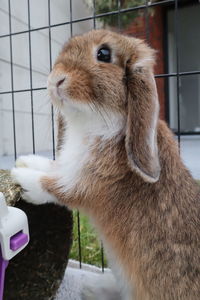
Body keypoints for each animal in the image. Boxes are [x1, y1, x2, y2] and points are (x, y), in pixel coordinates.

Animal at [11, 28, 200, 300]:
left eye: (103, 54)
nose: (56, 79)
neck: (93, 119)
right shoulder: (71, 166)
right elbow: (54, 168)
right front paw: (26, 161)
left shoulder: (92, 182)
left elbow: (59, 188)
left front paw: (22, 178)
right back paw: (95, 286)